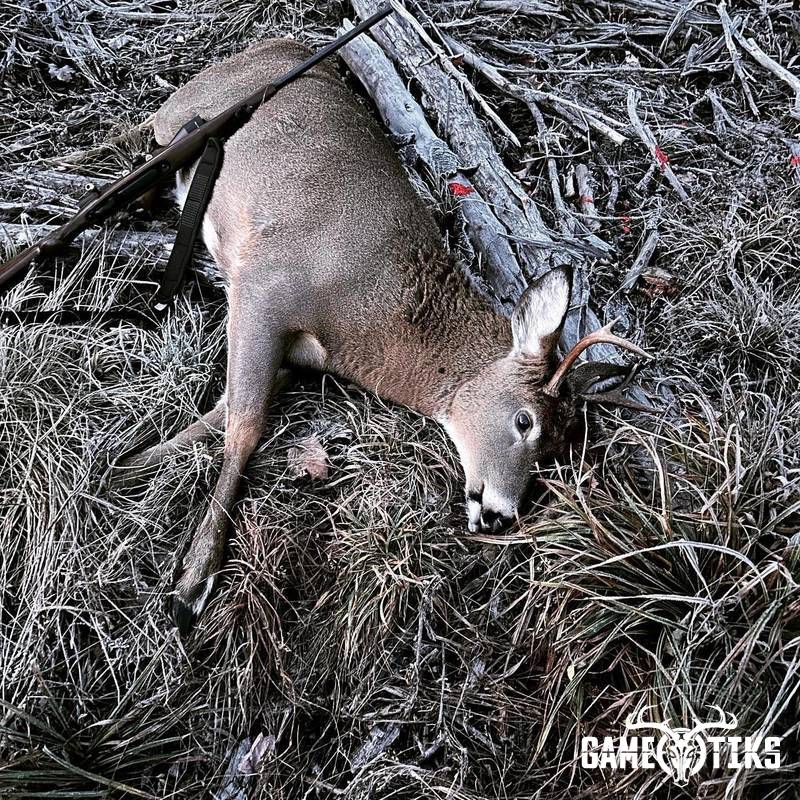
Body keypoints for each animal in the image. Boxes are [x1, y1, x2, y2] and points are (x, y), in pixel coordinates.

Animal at [118, 36, 648, 634]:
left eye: (557, 454)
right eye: (524, 421)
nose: (500, 514)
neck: (376, 327)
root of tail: (277, 41)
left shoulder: (292, 352)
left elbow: (225, 411)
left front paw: (129, 465)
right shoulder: (264, 286)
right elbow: (245, 427)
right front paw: (192, 582)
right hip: (182, 113)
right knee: (143, 132)